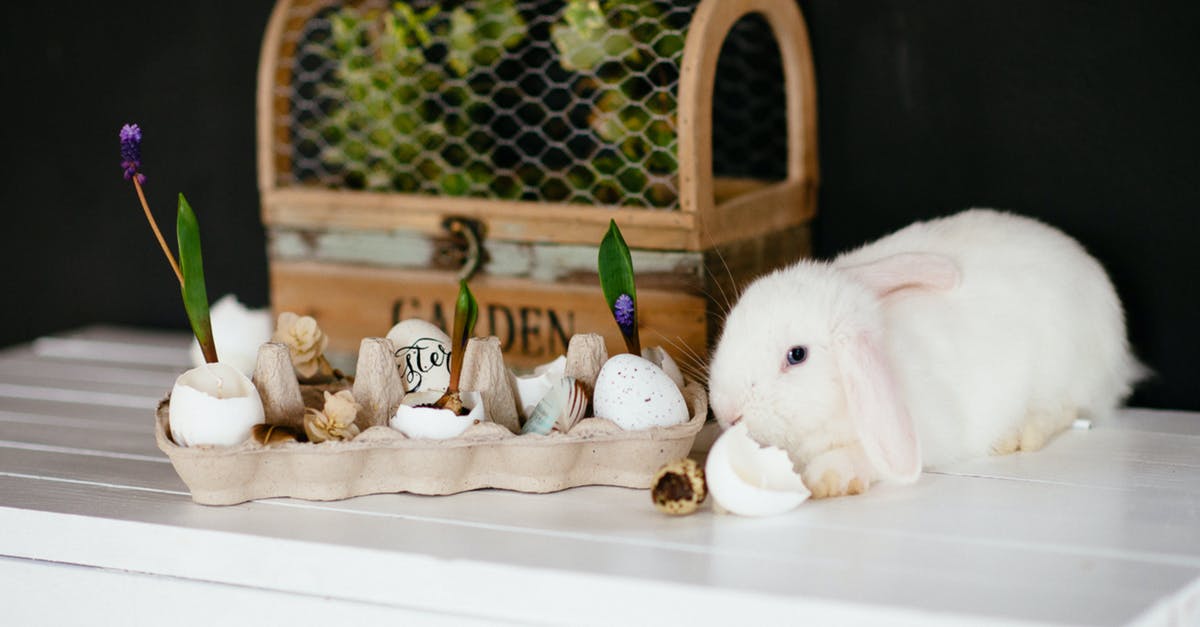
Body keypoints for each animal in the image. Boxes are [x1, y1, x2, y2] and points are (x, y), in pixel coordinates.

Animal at [705, 210, 1147, 497]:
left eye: (796, 355)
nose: (727, 412)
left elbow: (863, 458)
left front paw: (828, 479)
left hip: (1066, 372)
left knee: (1066, 411)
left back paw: (1018, 436)